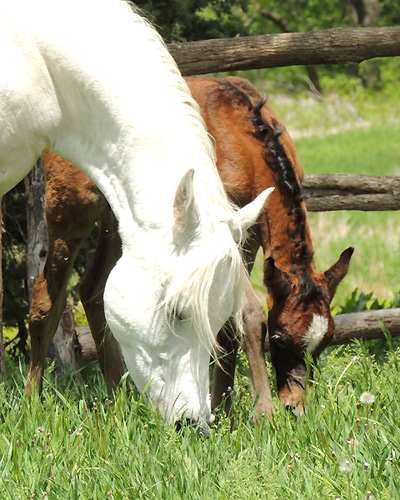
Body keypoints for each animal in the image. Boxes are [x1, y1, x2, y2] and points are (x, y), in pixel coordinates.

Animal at [25, 75, 354, 414]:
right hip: (73, 207)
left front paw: (224, 410)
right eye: (279, 339)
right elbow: (248, 312)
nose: (295, 406)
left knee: (93, 288)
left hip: (123, 222)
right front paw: (263, 412)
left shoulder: (245, 237)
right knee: (46, 300)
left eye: (326, 341)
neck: (246, 139)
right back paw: (31, 401)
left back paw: (120, 396)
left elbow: (227, 323)